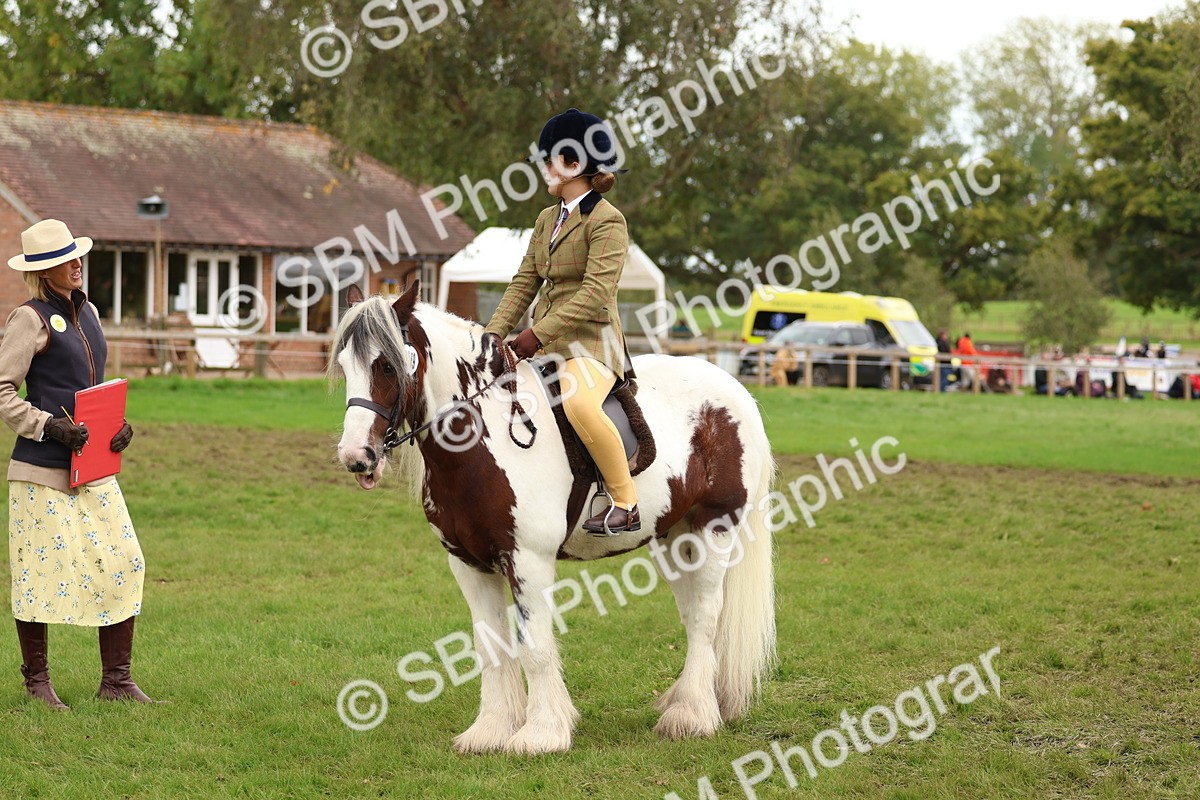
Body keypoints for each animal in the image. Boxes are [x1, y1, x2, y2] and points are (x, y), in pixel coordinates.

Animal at [330, 281, 776, 755]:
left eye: (386, 365)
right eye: (344, 365)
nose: (357, 456)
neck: (485, 439)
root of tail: (735, 391)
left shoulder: (527, 560)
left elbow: (535, 647)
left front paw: (541, 733)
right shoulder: (468, 563)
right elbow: (490, 646)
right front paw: (490, 729)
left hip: (715, 527)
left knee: (707, 615)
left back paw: (692, 715)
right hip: (675, 537)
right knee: (693, 617)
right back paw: (687, 701)